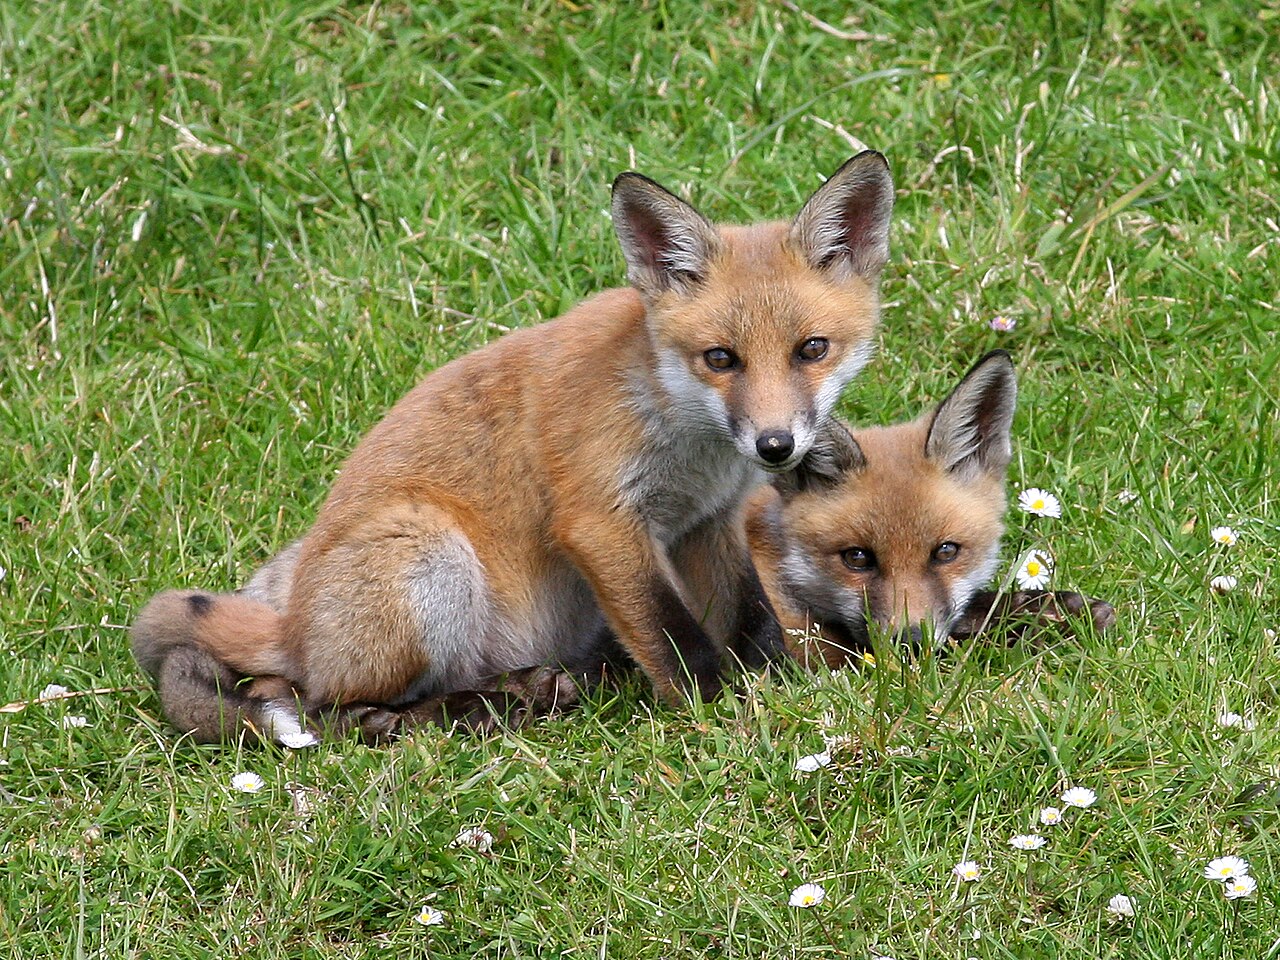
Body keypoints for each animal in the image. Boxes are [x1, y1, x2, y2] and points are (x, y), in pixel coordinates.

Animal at [131, 151, 897, 744]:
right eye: (720, 359)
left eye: (812, 350)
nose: (775, 446)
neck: (683, 429)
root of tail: (290, 624)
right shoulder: (600, 522)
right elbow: (674, 636)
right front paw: (726, 713)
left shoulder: (708, 520)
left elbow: (748, 617)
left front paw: (782, 684)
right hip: (426, 555)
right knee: (317, 703)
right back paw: (464, 713)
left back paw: (531, 690)